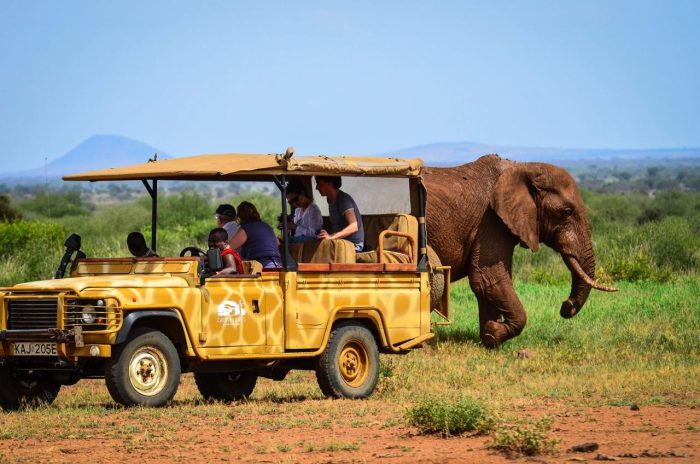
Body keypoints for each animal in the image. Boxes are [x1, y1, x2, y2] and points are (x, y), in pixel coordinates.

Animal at [424, 154, 616, 346]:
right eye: (567, 212)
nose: (565, 305)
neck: (523, 167)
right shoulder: (490, 221)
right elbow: (488, 277)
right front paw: (494, 331)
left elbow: (486, 283)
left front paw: (490, 337)